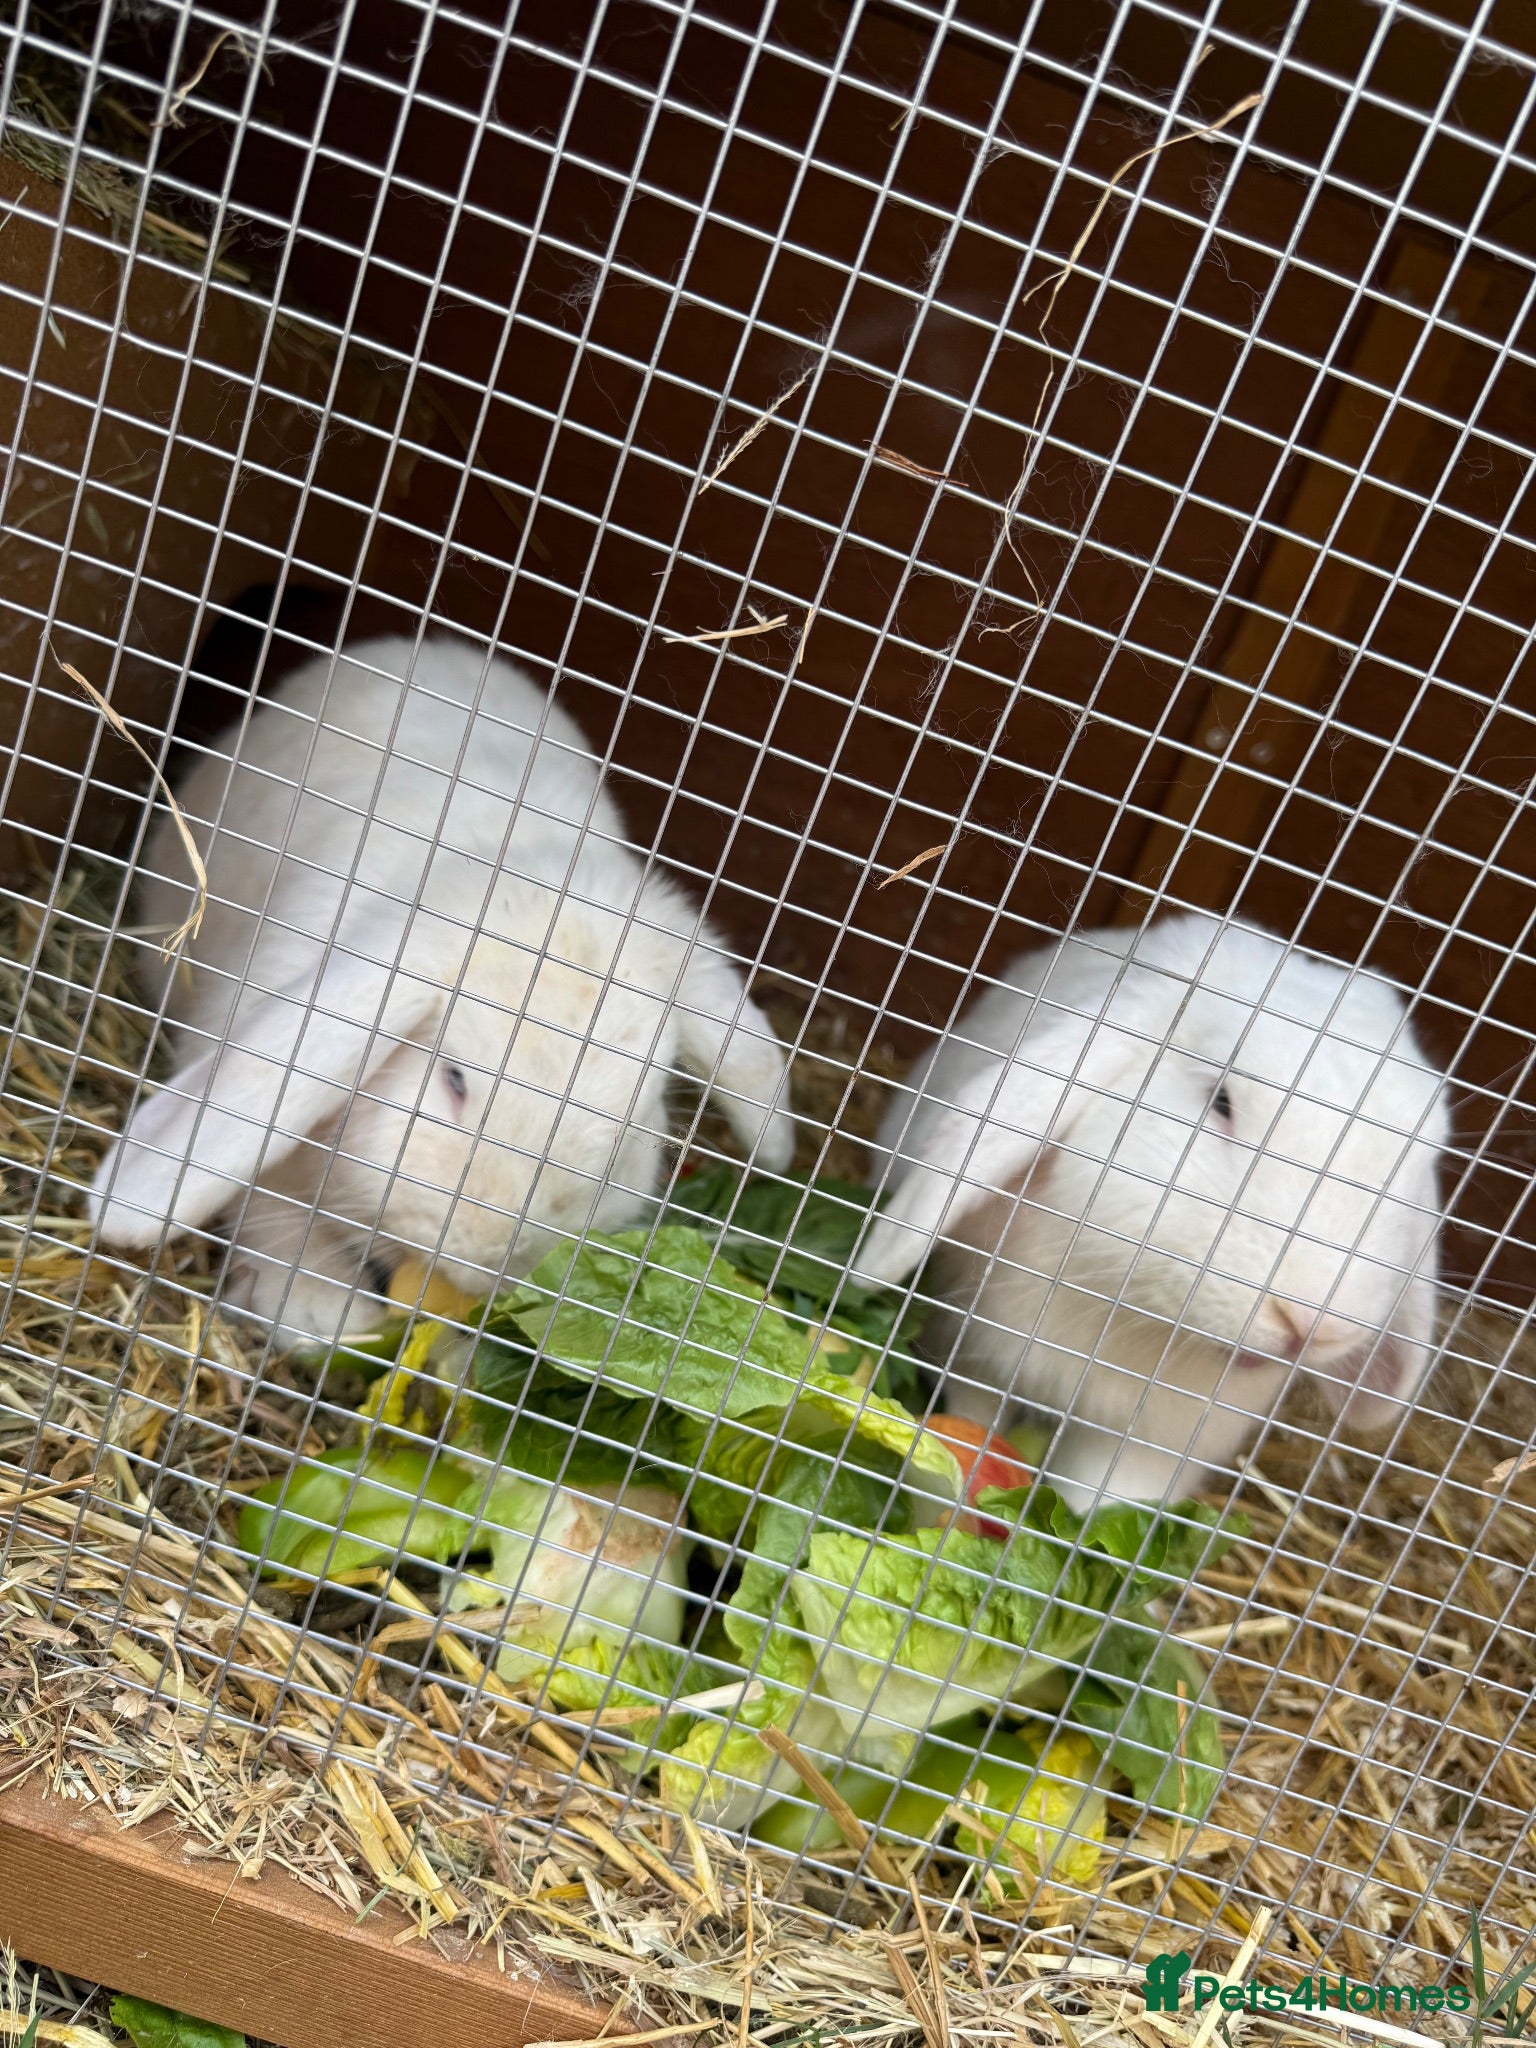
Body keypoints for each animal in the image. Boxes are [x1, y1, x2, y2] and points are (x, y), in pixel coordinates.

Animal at [856, 913, 1449, 1507]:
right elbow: (975, 1416)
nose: (1315, 1325)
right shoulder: (974, 1353)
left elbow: (1100, 1501)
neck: (1131, 1314)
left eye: (1420, 1164)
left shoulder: (1149, 1448)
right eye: (1222, 1102)